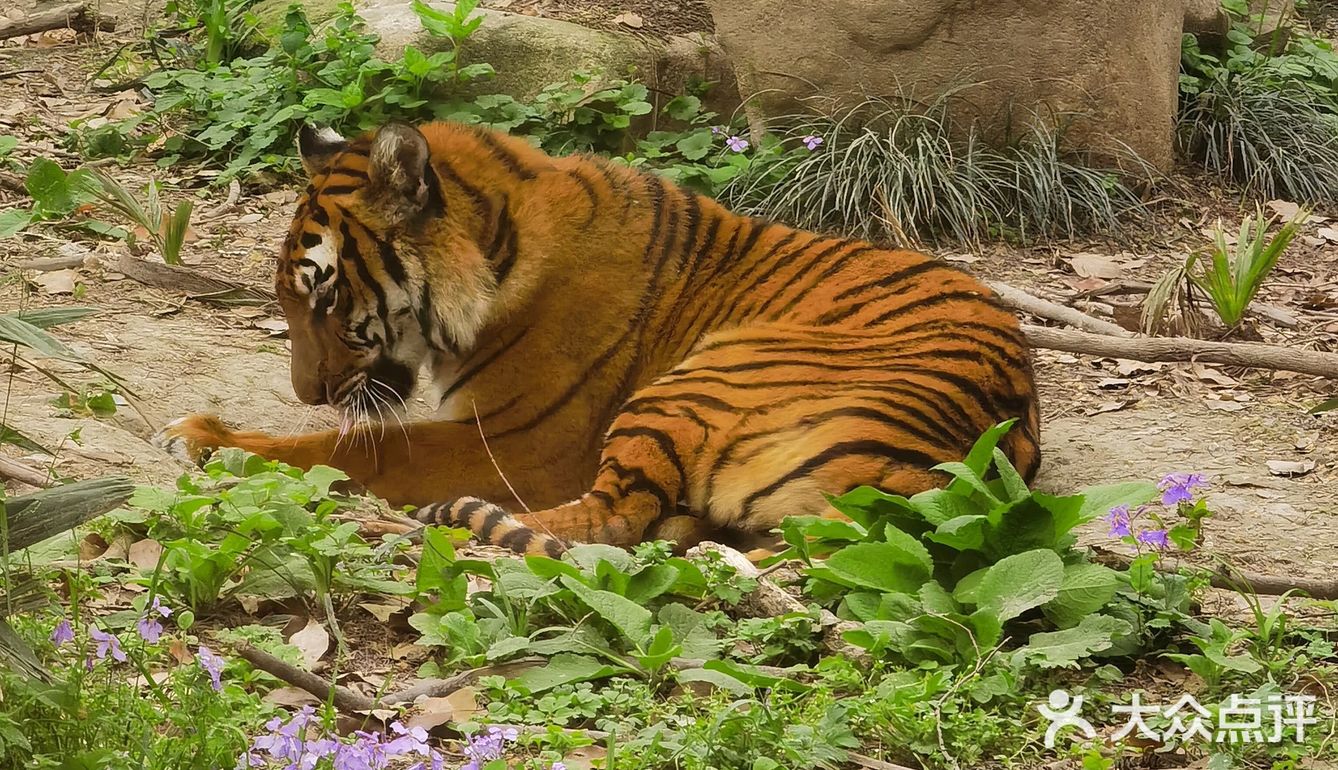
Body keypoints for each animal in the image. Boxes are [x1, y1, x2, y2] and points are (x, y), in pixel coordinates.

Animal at [153, 120, 1032, 557]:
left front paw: (204, 437)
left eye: (326, 294)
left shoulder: (523, 444)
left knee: (606, 520)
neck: (500, 246)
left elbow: (351, 450)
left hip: (702, 379)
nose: (305, 391)